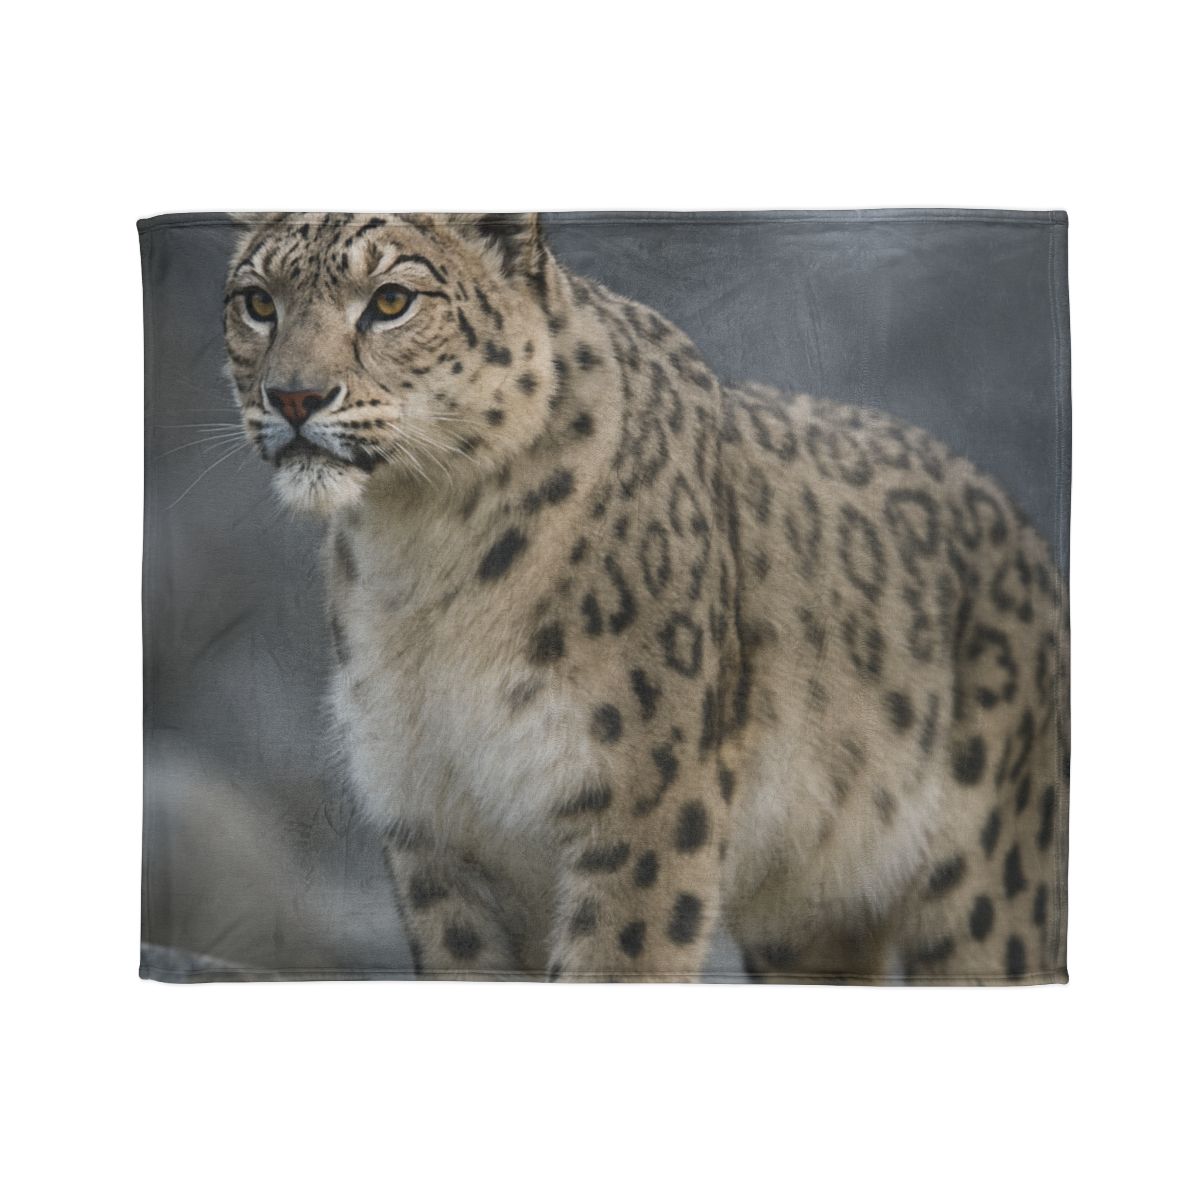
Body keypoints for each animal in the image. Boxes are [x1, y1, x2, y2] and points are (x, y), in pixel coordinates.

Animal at [223, 212, 1069, 983]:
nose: (293, 397)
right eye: (259, 301)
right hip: (806, 924)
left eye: (392, 299)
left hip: (991, 892)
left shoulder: (643, 801)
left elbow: (615, 961)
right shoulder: (433, 823)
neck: (422, 554)